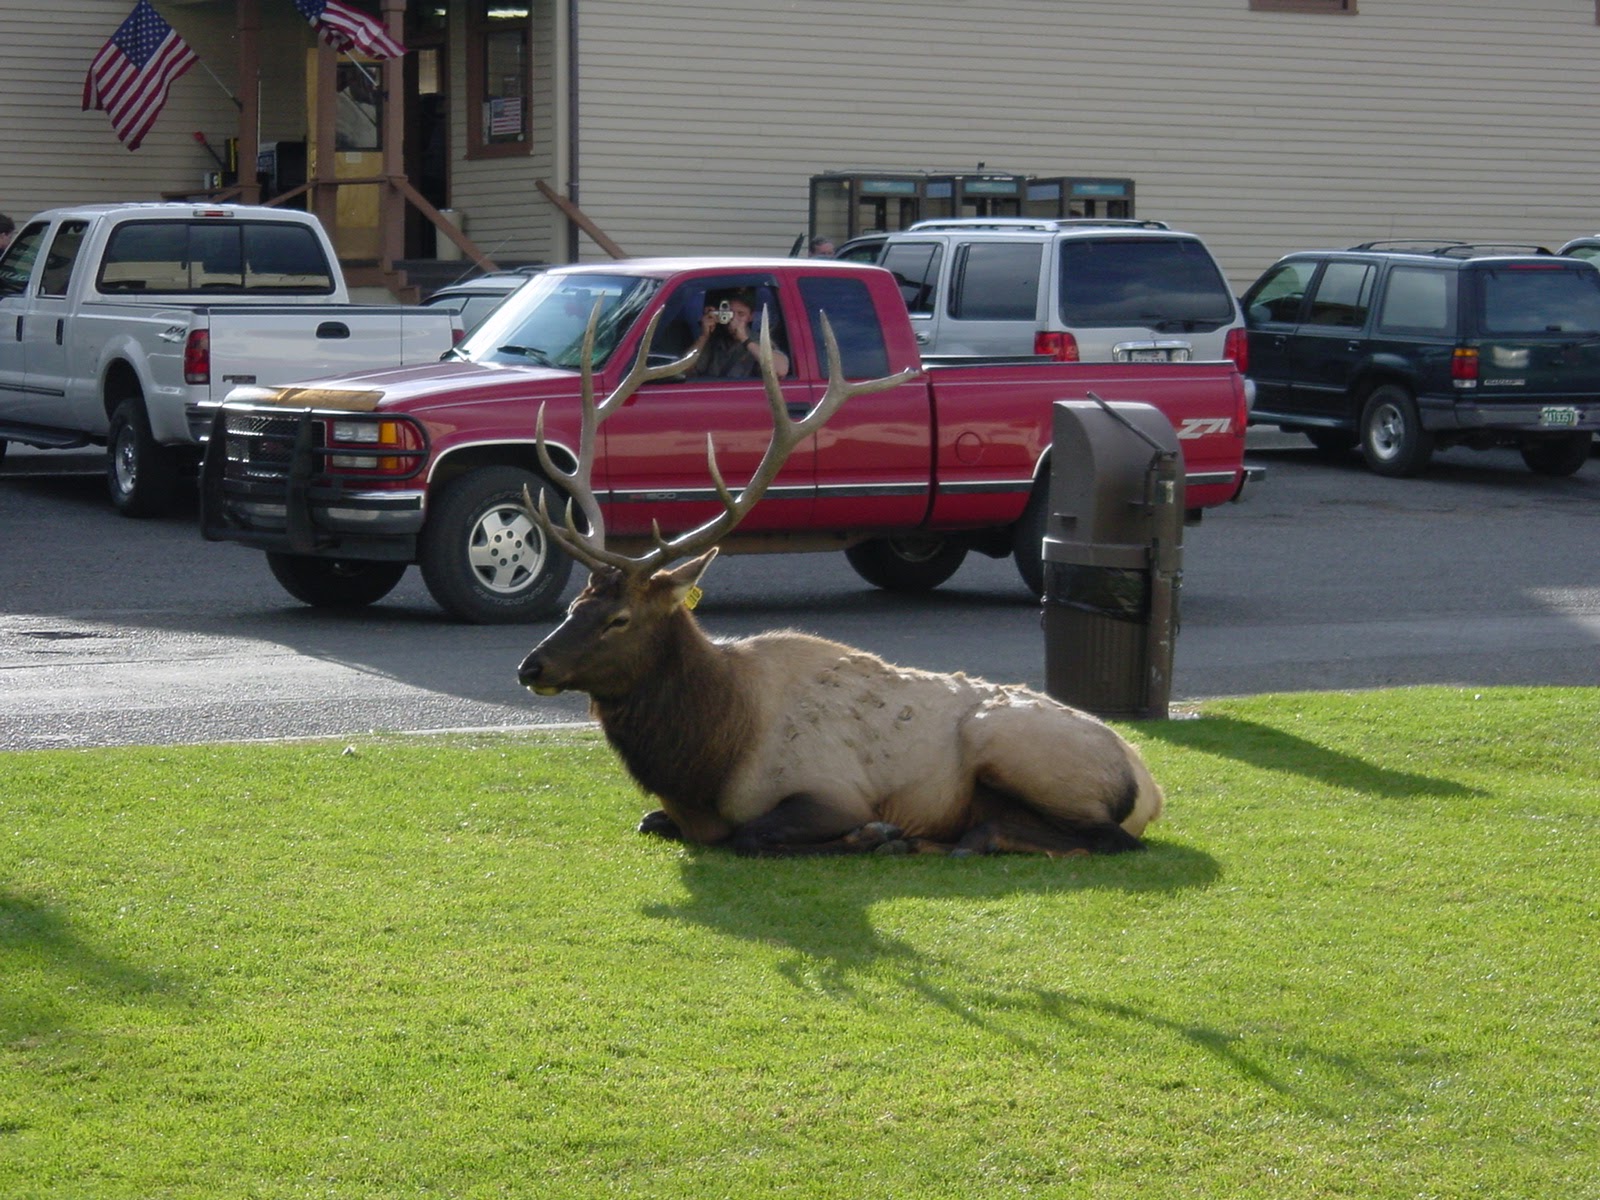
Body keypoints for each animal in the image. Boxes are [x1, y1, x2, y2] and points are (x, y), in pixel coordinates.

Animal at [516, 304, 1165, 857]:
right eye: (576, 605)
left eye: (619, 618)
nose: (530, 666)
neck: (709, 757)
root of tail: (1150, 786)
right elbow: (649, 820)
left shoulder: (830, 791)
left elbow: (752, 835)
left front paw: (871, 833)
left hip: (1008, 746)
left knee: (1102, 838)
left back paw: (922, 839)